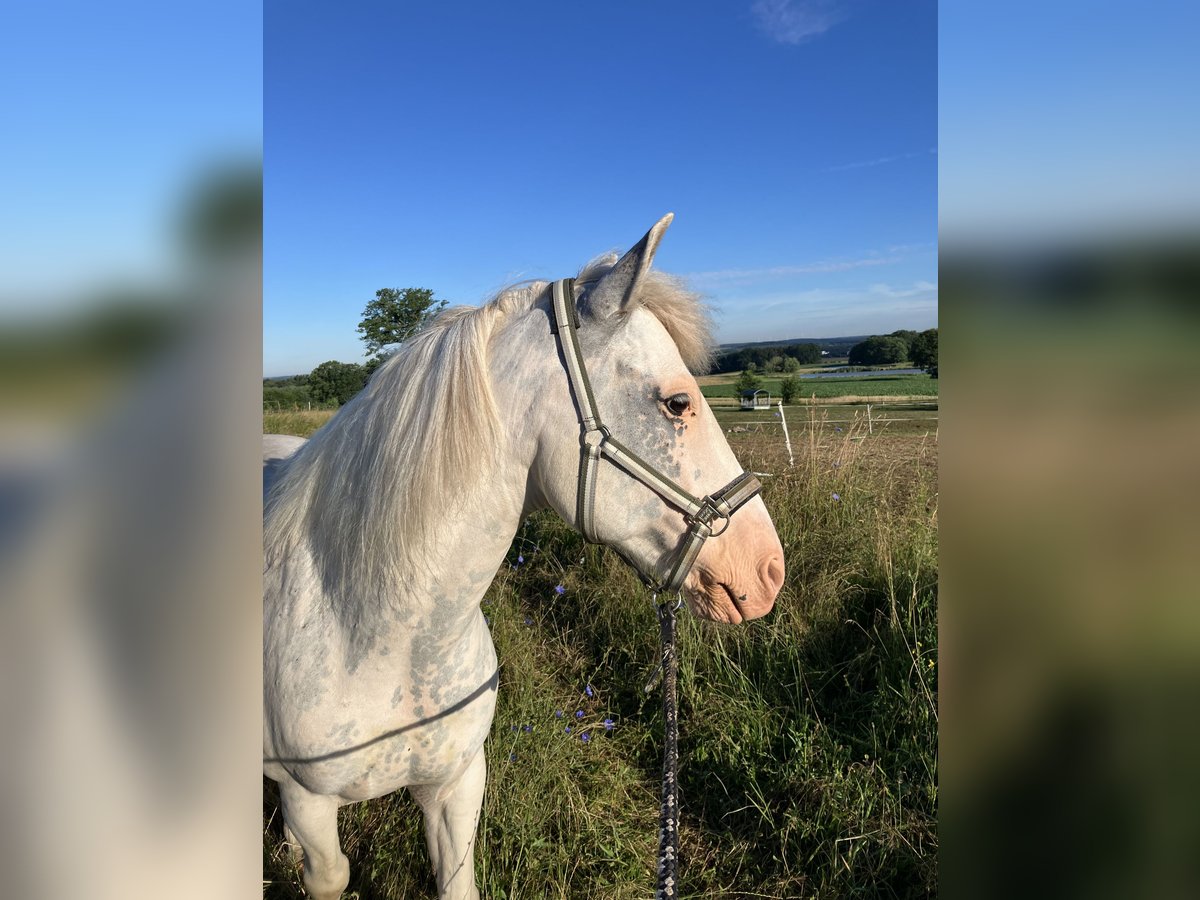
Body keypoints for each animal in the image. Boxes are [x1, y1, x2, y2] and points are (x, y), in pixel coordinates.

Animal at [265, 218, 787, 900]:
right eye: (677, 403)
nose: (768, 569)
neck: (381, 640)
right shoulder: (308, 802)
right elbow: (327, 873)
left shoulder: (457, 786)